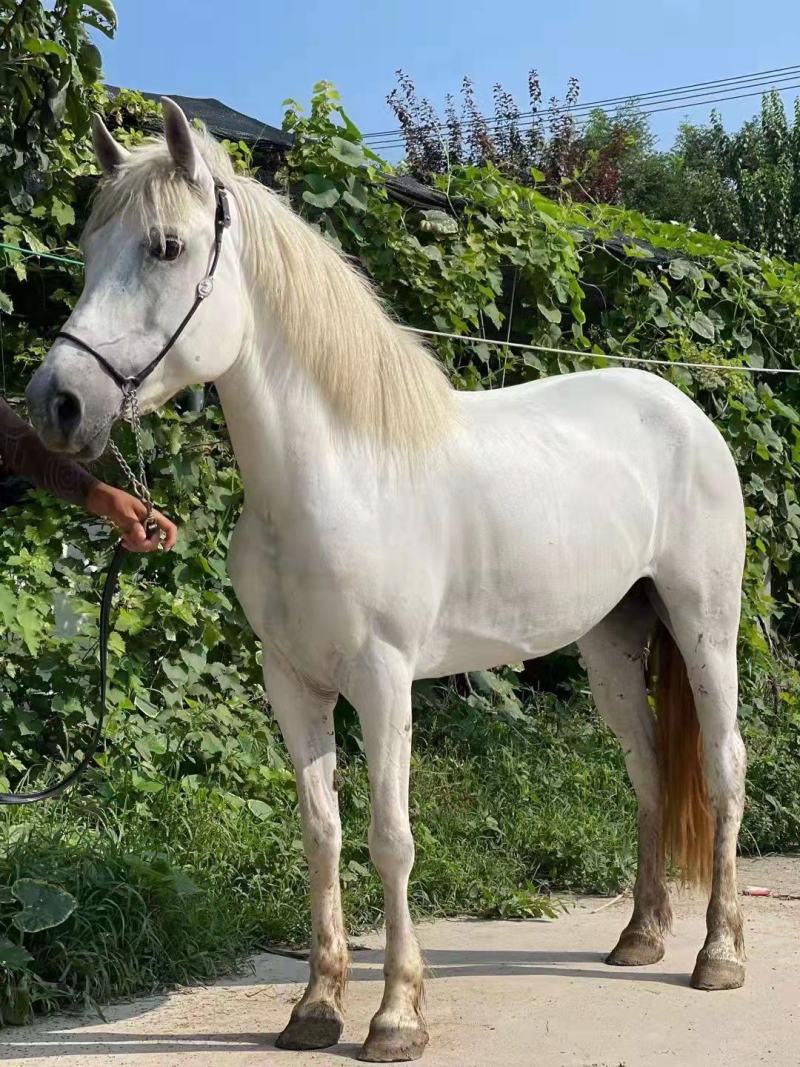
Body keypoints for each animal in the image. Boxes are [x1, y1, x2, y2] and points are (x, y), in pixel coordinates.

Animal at [26, 99, 747, 1062]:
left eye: (166, 247)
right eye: (89, 243)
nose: (56, 403)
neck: (335, 475)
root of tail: (686, 412)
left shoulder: (384, 680)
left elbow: (391, 838)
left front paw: (397, 1014)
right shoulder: (293, 682)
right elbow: (323, 835)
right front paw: (315, 1007)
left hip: (704, 624)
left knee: (722, 765)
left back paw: (718, 954)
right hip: (611, 643)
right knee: (649, 773)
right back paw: (639, 936)